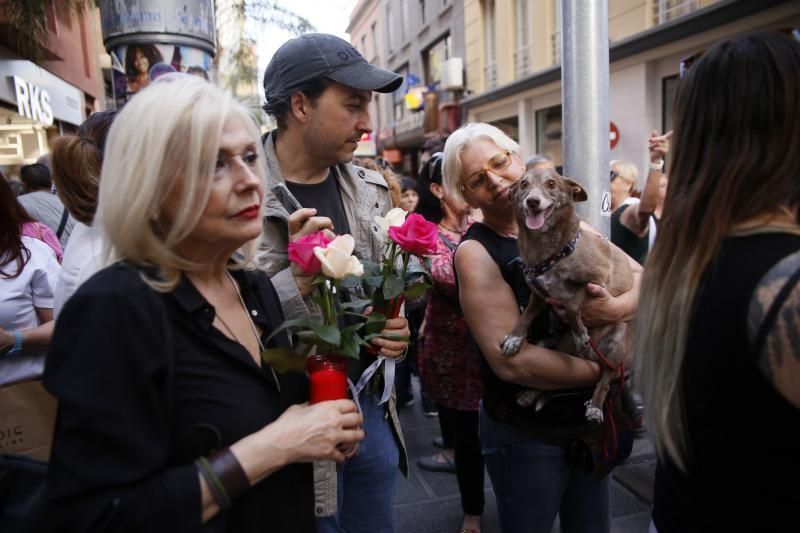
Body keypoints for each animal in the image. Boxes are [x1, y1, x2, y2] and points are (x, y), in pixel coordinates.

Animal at [500, 168, 636, 422]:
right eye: (523, 184)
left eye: (551, 184)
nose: (532, 201)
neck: (547, 251)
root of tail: (594, 358)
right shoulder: (538, 294)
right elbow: (526, 316)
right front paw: (515, 337)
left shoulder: (598, 280)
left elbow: (572, 306)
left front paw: (581, 334)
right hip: (565, 346)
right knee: (553, 380)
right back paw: (531, 392)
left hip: (617, 341)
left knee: (604, 380)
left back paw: (595, 406)